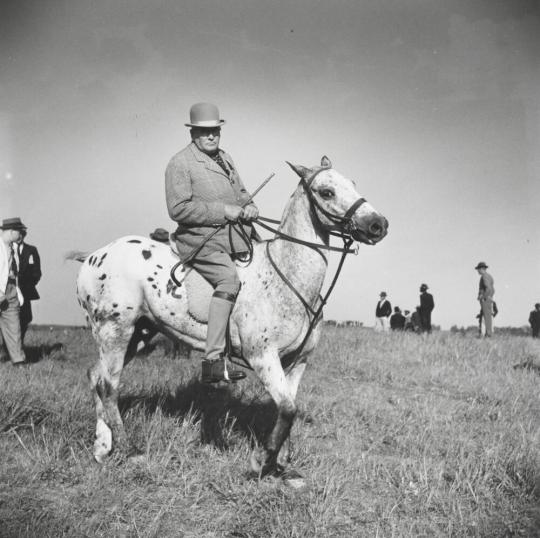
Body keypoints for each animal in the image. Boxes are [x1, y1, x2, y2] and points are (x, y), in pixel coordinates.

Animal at [67, 155, 388, 482]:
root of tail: (93, 255)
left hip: (139, 334)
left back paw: (102, 448)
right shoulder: (262, 356)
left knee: (96, 377)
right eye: (326, 192)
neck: (287, 277)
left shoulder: (297, 361)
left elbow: (289, 407)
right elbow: (287, 409)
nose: (378, 224)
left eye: (352, 183)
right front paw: (261, 462)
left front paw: (282, 466)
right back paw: (129, 450)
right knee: (109, 386)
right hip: (115, 329)